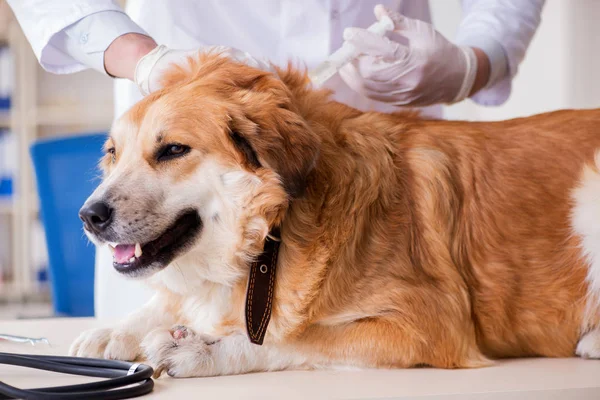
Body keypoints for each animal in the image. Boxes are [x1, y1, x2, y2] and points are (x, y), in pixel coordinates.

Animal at [71, 54, 600, 378]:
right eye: (113, 154)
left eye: (173, 150)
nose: (88, 216)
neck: (273, 231)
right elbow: (169, 301)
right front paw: (115, 330)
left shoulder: (428, 323)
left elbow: (294, 339)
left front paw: (204, 349)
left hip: (589, 193)